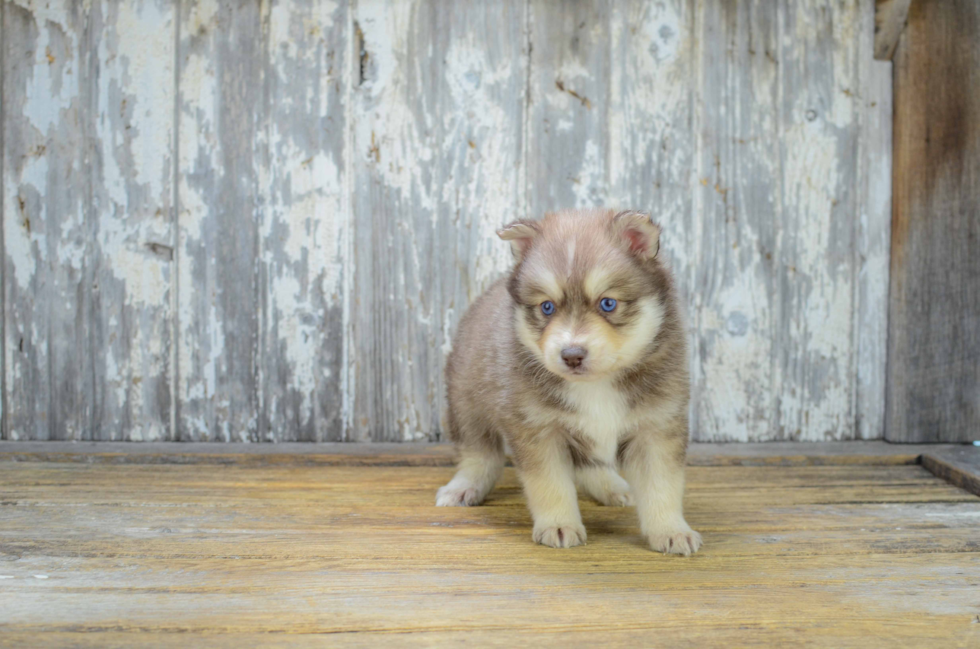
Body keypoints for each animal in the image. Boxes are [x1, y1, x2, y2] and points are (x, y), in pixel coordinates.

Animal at [434, 210, 696, 556]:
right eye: (547, 307)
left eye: (608, 303)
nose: (571, 355)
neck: (596, 385)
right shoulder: (538, 430)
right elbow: (550, 484)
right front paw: (559, 525)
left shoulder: (657, 426)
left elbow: (662, 486)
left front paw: (671, 530)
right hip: (467, 404)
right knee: (480, 455)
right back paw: (464, 487)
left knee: (590, 464)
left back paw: (609, 487)